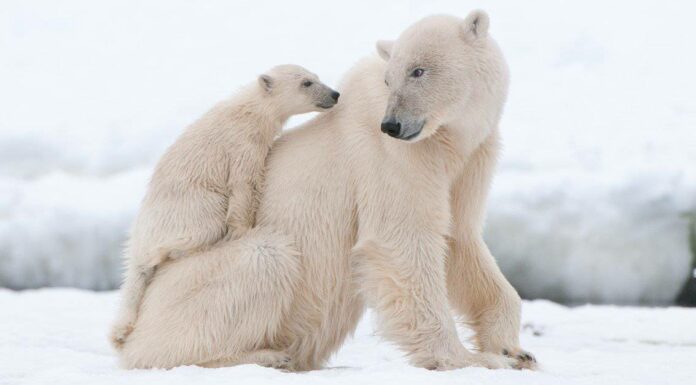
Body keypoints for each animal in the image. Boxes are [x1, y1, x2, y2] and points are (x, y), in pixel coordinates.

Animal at [109, 66, 340, 348]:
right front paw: (242, 230)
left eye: (316, 77)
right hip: (188, 208)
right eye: (306, 83)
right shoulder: (242, 145)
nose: (334, 94)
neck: (250, 110)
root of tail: (138, 240)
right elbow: (243, 185)